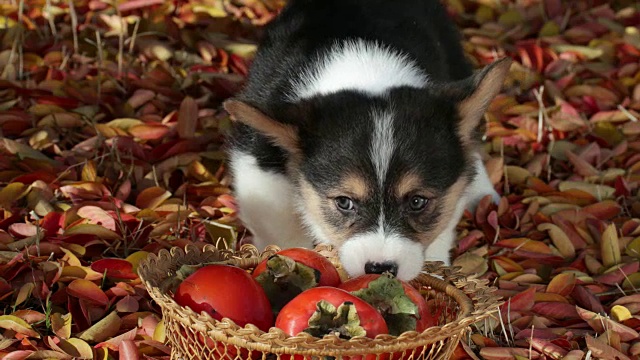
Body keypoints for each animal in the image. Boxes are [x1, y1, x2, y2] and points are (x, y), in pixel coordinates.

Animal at [224, 0, 510, 282]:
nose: (381, 268)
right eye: (344, 202)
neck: (366, 74)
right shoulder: (255, 158)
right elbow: (279, 224)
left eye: (417, 201)